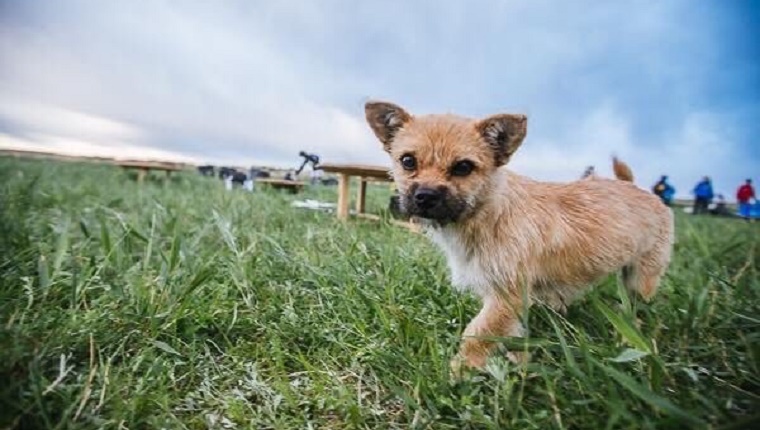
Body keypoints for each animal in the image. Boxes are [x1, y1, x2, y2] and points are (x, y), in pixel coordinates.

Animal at [366, 100, 672, 372]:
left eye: (463, 167)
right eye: (408, 161)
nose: (425, 196)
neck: (486, 214)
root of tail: (639, 189)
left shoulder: (505, 295)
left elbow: (478, 332)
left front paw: (460, 370)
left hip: (642, 277)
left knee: (637, 304)